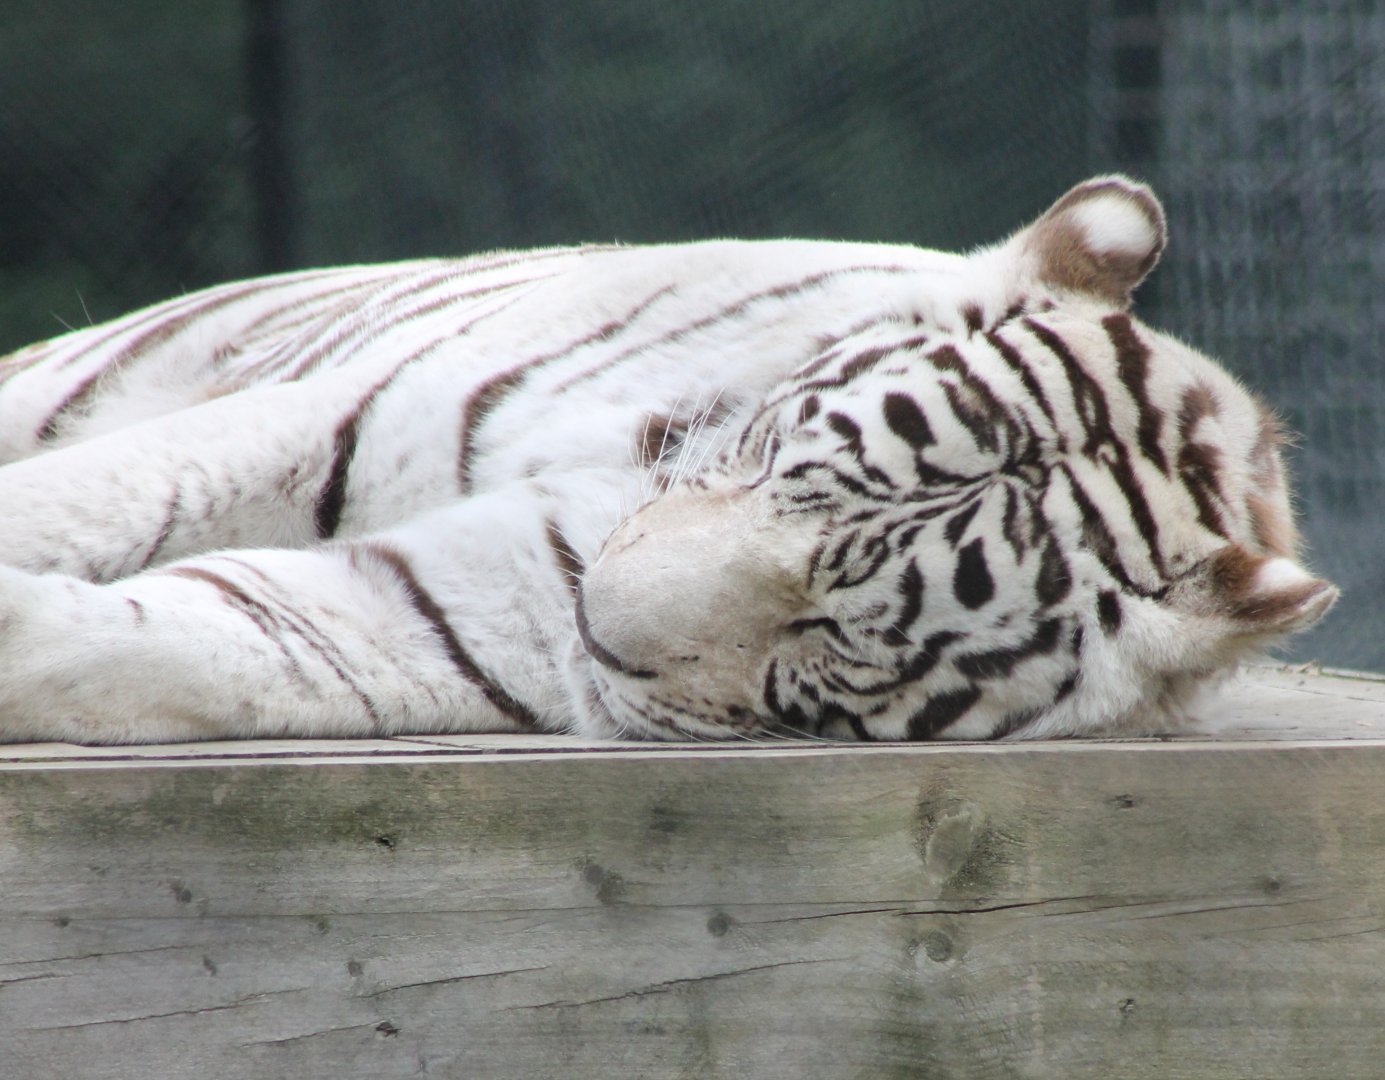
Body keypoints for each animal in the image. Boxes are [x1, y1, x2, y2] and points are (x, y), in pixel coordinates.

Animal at [0, 176, 1335, 745]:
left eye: (830, 632)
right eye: (765, 464)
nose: (595, 621)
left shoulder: (447, 616)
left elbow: (193, 642)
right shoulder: (335, 419)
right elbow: (110, 491)